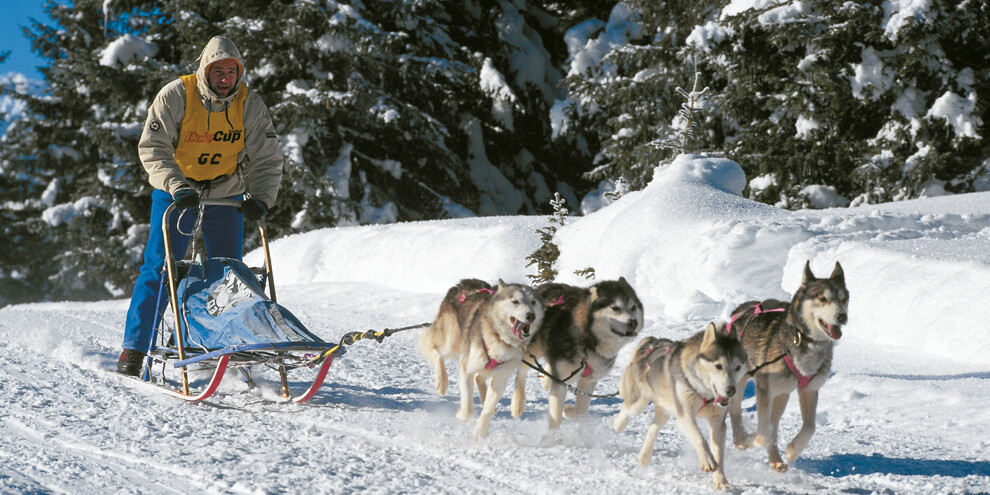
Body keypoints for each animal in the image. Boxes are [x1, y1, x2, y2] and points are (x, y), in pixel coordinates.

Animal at [416, 280, 548, 442]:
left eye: (533, 302)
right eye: (515, 301)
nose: (531, 315)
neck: (500, 339)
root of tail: (463, 283)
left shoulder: (500, 378)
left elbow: (488, 408)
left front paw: (481, 430)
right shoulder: (467, 368)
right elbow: (467, 405)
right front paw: (462, 416)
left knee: (479, 378)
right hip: (451, 340)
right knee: (437, 352)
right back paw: (441, 382)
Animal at [512, 280, 644, 430]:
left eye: (633, 307)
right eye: (615, 308)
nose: (633, 322)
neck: (589, 342)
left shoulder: (589, 381)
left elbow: (581, 412)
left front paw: (567, 410)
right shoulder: (562, 381)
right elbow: (555, 414)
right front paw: (553, 434)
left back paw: (546, 379)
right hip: (533, 348)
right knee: (521, 368)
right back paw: (518, 404)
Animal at [616, 324, 748, 490]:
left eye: (738, 367)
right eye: (718, 366)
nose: (731, 391)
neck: (703, 391)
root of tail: (652, 341)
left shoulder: (718, 423)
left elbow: (718, 454)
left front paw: (721, 482)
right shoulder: (685, 416)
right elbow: (700, 439)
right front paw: (708, 460)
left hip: (665, 409)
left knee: (654, 426)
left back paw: (644, 456)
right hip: (639, 402)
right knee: (626, 411)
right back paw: (618, 424)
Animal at [724, 260, 848, 472]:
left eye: (844, 299)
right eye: (823, 298)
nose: (842, 316)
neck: (804, 341)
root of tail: (739, 310)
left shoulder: (809, 389)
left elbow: (809, 427)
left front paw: (793, 450)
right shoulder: (764, 389)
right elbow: (763, 433)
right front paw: (752, 440)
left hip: (782, 394)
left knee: (773, 424)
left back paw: (775, 459)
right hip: (742, 380)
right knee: (735, 409)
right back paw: (742, 439)